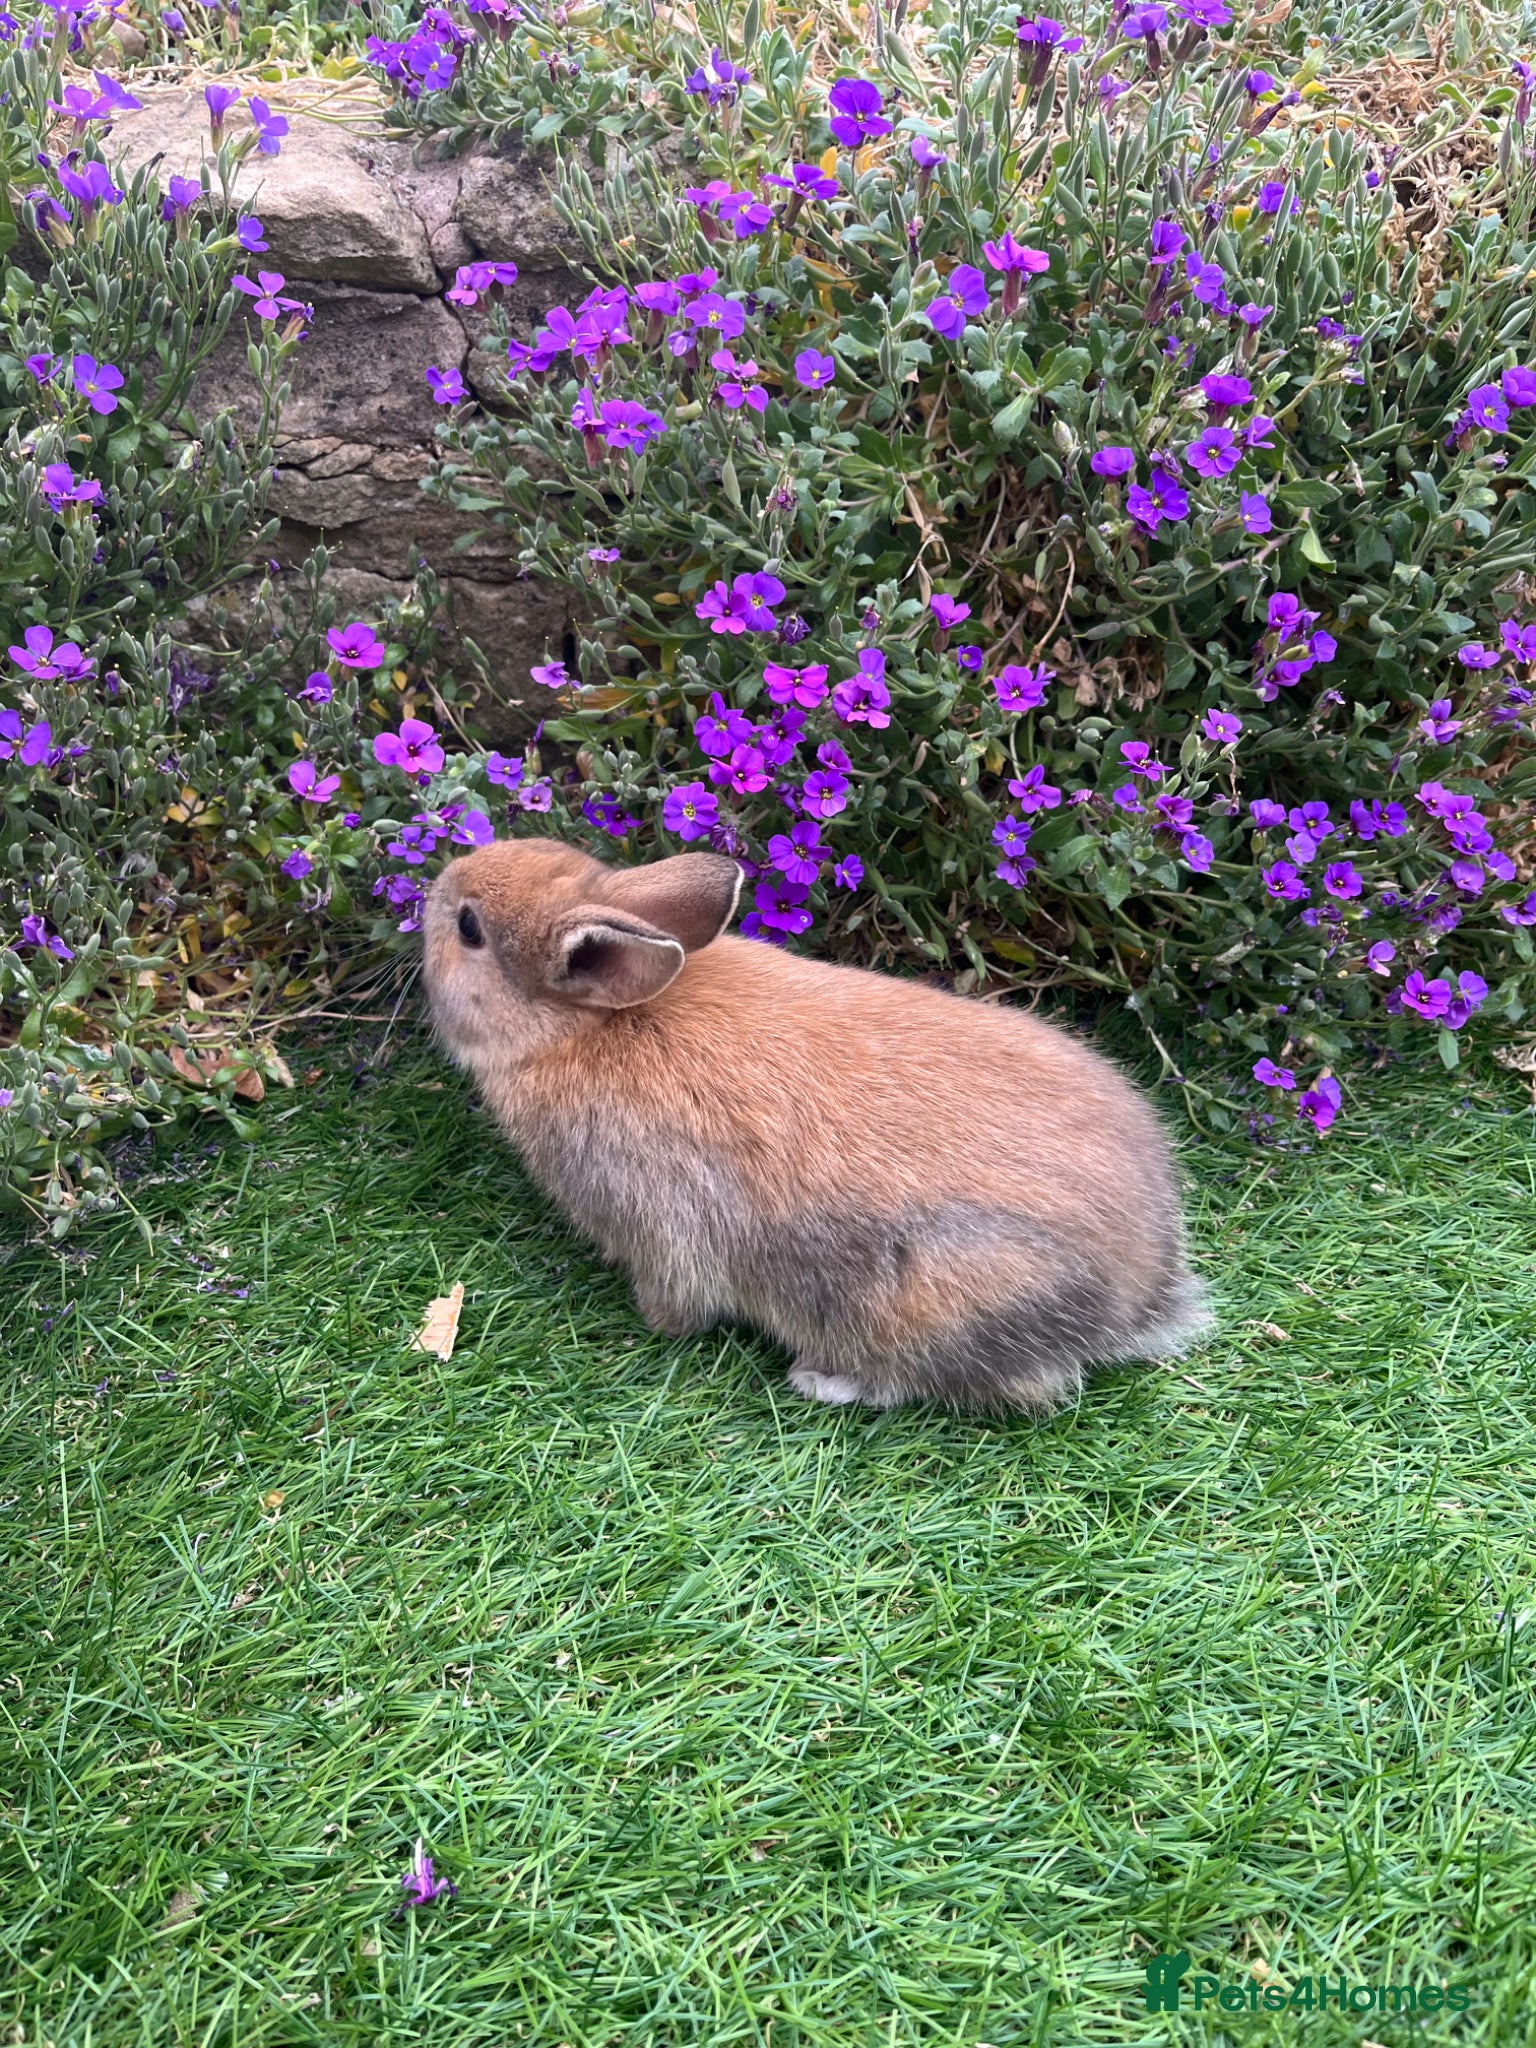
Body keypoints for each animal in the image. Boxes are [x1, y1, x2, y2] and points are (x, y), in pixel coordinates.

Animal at [422, 836, 1210, 1413]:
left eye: (469, 928)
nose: (438, 881)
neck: (580, 1027)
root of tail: (1141, 1293)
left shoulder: (659, 1225)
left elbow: (678, 1298)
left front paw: (654, 1324)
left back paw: (820, 1381)